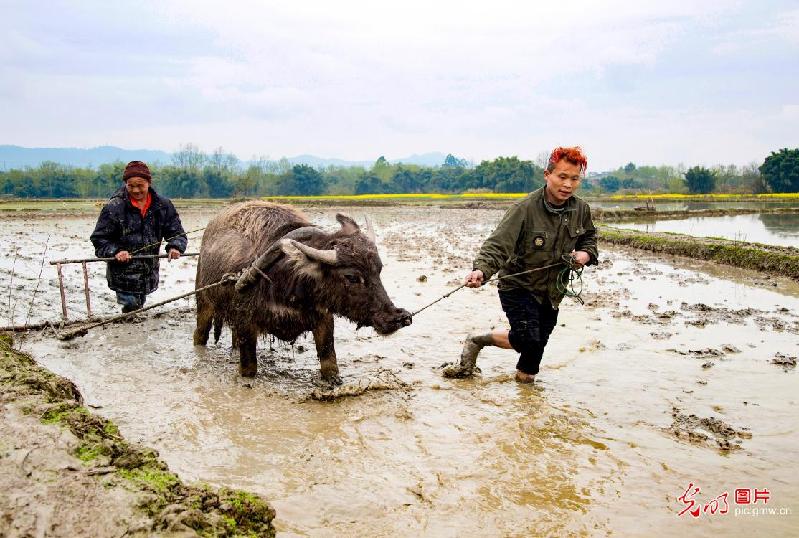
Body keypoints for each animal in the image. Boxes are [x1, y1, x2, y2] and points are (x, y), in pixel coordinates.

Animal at [194, 201, 412, 382]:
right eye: (351, 277)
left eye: (379, 269)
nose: (398, 317)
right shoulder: (246, 323)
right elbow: (249, 368)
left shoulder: (324, 319)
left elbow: (329, 362)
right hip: (203, 303)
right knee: (200, 334)